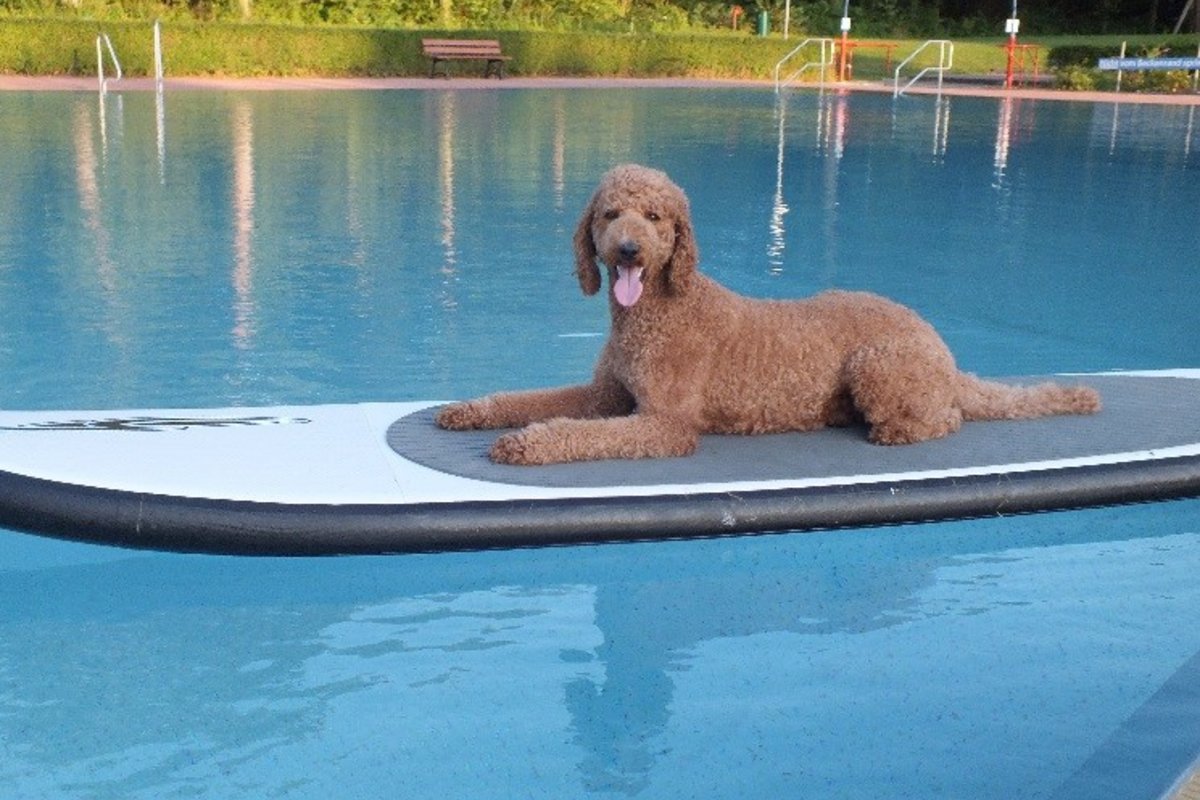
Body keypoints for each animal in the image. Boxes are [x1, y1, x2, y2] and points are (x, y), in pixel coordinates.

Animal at [436, 164, 1099, 462]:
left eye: (654, 218)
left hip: (879, 365)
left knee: (947, 418)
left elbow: (577, 433)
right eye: (608, 214)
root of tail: (941, 347)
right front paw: (473, 411)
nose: (627, 250)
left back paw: (897, 430)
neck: (658, 310)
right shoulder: (606, 394)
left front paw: (524, 443)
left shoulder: (663, 424)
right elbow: (529, 399)